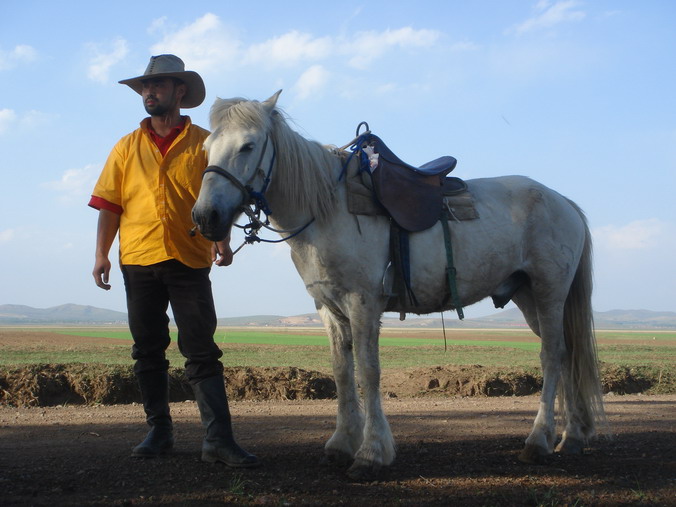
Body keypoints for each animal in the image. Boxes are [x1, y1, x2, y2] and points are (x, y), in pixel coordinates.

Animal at [191, 92, 608, 480]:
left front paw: (370, 453)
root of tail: (563, 201)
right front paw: (340, 444)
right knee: (567, 354)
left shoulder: (363, 302)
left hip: (548, 292)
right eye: (207, 148)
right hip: (528, 297)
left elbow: (368, 371)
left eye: (247, 145)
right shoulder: (328, 307)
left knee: (552, 356)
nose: (206, 216)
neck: (328, 208)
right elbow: (342, 372)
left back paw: (539, 441)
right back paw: (572, 436)